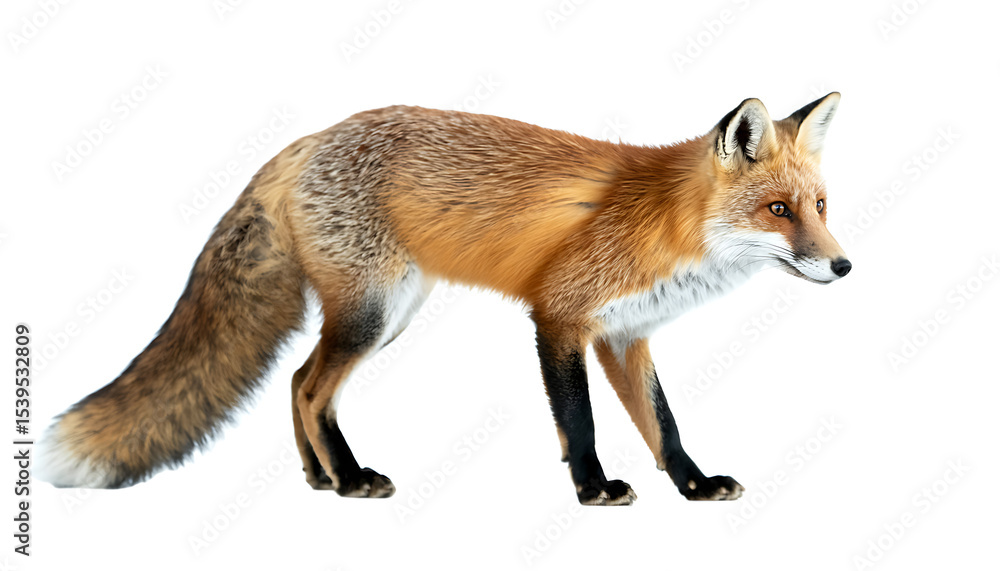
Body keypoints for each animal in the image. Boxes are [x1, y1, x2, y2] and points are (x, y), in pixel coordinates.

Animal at [39, 92, 850, 505]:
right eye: (778, 210)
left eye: (819, 205)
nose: (844, 266)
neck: (669, 225)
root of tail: (312, 137)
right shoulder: (559, 316)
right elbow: (580, 423)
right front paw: (591, 488)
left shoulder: (626, 335)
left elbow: (665, 424)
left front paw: (693, 484)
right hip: (373, 313)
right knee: (312, 387)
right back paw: (350, 478)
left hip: (387, 316)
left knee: (299, 379)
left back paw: (319, 476)